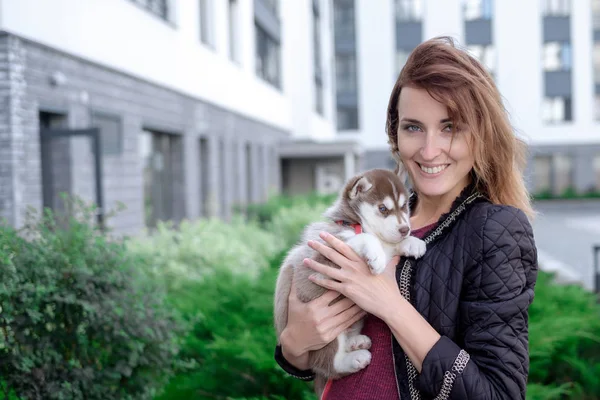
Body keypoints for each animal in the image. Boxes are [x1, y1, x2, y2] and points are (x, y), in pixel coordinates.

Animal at [274, 167, 424, 382]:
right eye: (383, 209)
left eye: (404, 206)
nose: (405, 229)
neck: (357, 223)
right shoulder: (324, 256)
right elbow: (364, 237)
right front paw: (376, 254)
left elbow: (389, 244)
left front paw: (413, 243)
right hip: (324, 332)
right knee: (328, 365)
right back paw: (353, 358)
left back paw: (355, 342)